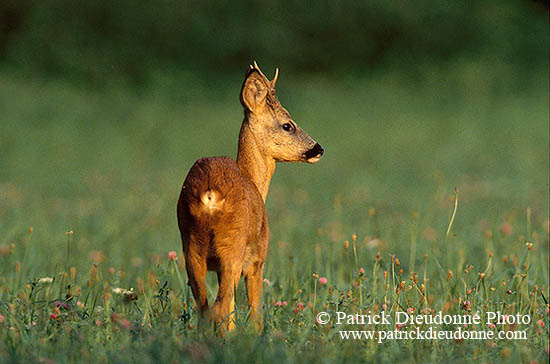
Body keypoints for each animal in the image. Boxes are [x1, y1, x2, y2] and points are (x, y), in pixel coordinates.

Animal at [178, 61, 324, 332]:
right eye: (288, 125)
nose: (318, 148)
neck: (253, 180)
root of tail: (210, 193)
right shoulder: (257, 260)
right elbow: (255, 311)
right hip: (232, 246)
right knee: (221, 306)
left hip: (191, 246)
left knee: (205, 308)